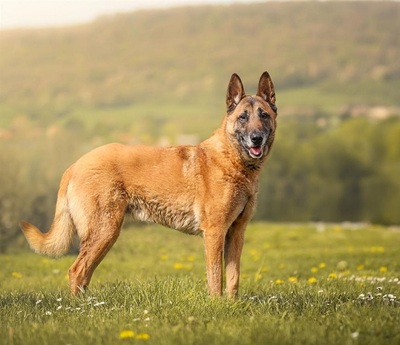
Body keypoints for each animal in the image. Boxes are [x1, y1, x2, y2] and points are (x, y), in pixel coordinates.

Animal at [20, 71, 276, 296]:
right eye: (243, 117)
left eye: (263, 115)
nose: (257, 138)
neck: (233, 162)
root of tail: (75, 165)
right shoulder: (214, 233)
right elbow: (215, 278)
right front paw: (216, 305)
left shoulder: (236, 233)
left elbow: (233, 279)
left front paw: (231, 305)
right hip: (105, 231)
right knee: (76, 271)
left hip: (103, 235)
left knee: (83, 274)